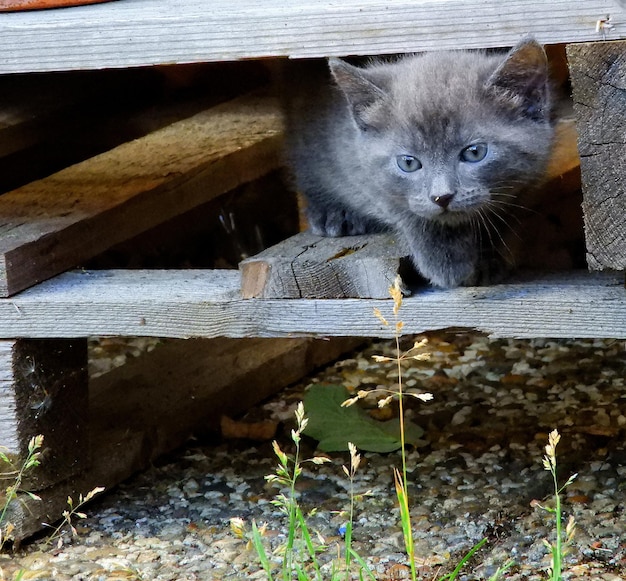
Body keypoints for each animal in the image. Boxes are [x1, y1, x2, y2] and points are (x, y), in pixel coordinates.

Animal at [282, 38, 552, 288]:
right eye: (409, 163)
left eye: (475, 153)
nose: (442, 197)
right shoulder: (364, 171)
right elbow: (408, 211)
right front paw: (446, 264)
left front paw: (487, 258)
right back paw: (334, 214)